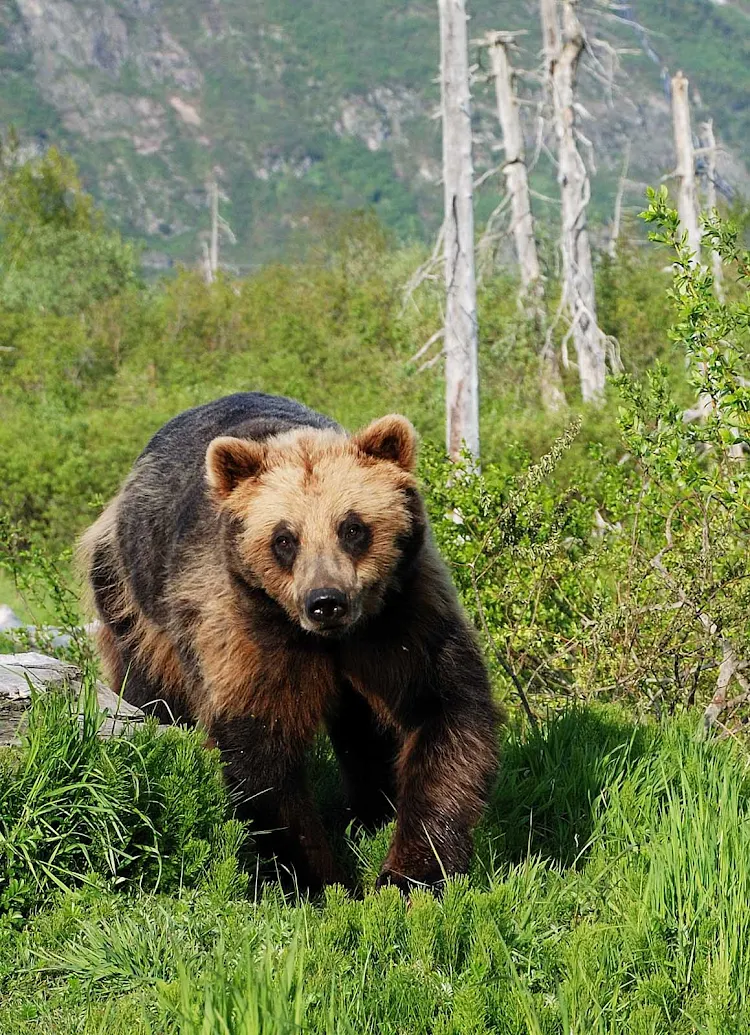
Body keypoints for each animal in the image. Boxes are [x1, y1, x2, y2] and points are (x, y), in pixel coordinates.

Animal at [79, 392, 500, 894]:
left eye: (352, 527)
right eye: (285, 538)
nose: (326, 601)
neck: (330, 641)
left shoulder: (401, 619)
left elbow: (443, 711)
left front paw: (410, 872)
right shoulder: (245, 628)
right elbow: (263, 749)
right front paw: (314, 880)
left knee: (362, 728)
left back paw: (371, 813)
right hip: (131, 597)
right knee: (150, 689)